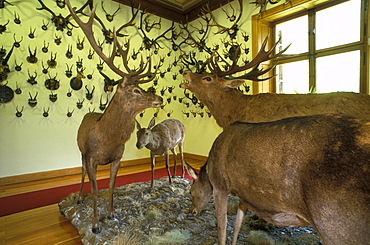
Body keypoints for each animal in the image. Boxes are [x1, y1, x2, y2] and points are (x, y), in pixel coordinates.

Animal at [66, 0, 162, 234]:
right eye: (136, 90)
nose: (159, 98)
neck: (107, 139)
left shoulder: (117, 158)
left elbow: (110, 186)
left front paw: (110, 214)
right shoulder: (91, 156)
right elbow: (94, 188)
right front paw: (95, 224)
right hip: (80, 151)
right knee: (81, 172)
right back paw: (79, 197)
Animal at [186, 114, 370, 245]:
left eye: (191, 191)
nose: (192, 211)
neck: (209, 168)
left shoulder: (220, 185)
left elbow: (222, 226)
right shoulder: (244, 193)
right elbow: (238, 224)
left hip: (336, 223)